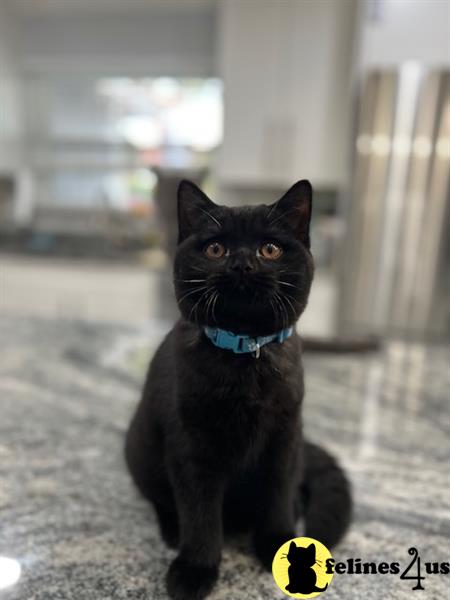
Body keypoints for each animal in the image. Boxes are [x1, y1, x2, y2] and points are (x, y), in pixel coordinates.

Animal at [124, 179, 352, 600]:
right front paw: (195, 569)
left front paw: (278, 542)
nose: (242, 264)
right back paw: (171, 529)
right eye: (216, 249)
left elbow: (278, 492)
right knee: (161, 498)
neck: (247, 355)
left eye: (270, 249)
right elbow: (199, 513)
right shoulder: (191, 447)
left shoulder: (284, 437)